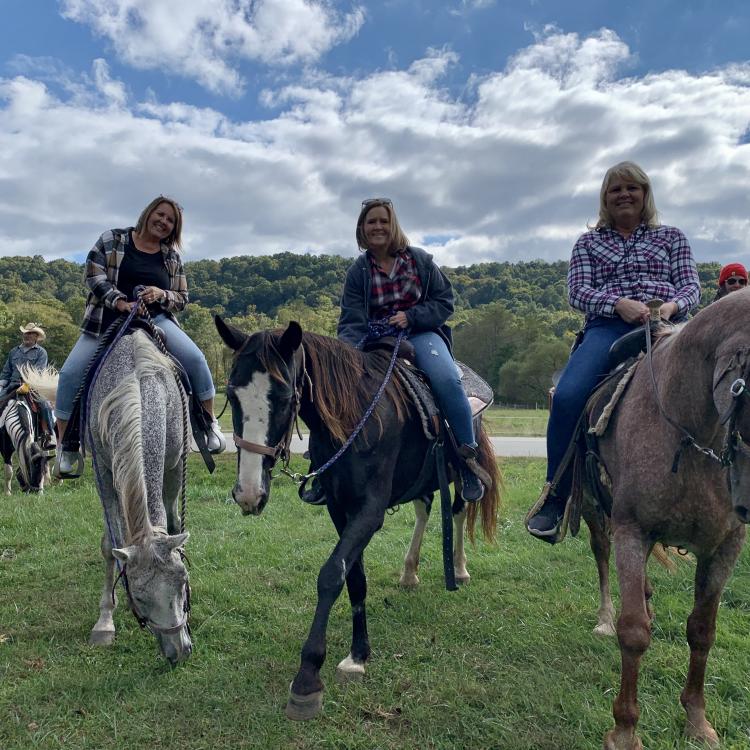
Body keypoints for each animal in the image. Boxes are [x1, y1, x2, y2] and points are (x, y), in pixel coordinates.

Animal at [84, 332, 194, 668]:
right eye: (139, 597)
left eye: (183, 582)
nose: (178, 652)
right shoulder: (104, 473)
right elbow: (111, 545)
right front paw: (105, 620)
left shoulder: (176, 463)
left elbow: (173, 521)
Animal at [214, 318, 502, 724]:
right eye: (232, 395)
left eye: (284, 397)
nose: (248, 493)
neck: (358, 418)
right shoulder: (340, 510)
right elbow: (354, 579)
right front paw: (359, 654)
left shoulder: (369, 511)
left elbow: (331, 574)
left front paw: (308, 677)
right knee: (424, 509)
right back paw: (409, 572)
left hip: (458, 474)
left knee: (459, 511)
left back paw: (459, 568)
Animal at [580, 290, 750, 750]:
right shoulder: (631, 530)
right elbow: (633, 631)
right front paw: (624, 730)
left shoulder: (725, 545)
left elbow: (703, 630)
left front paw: (696, 720)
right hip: (595, 512)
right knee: (602, 558)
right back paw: (604, 618)